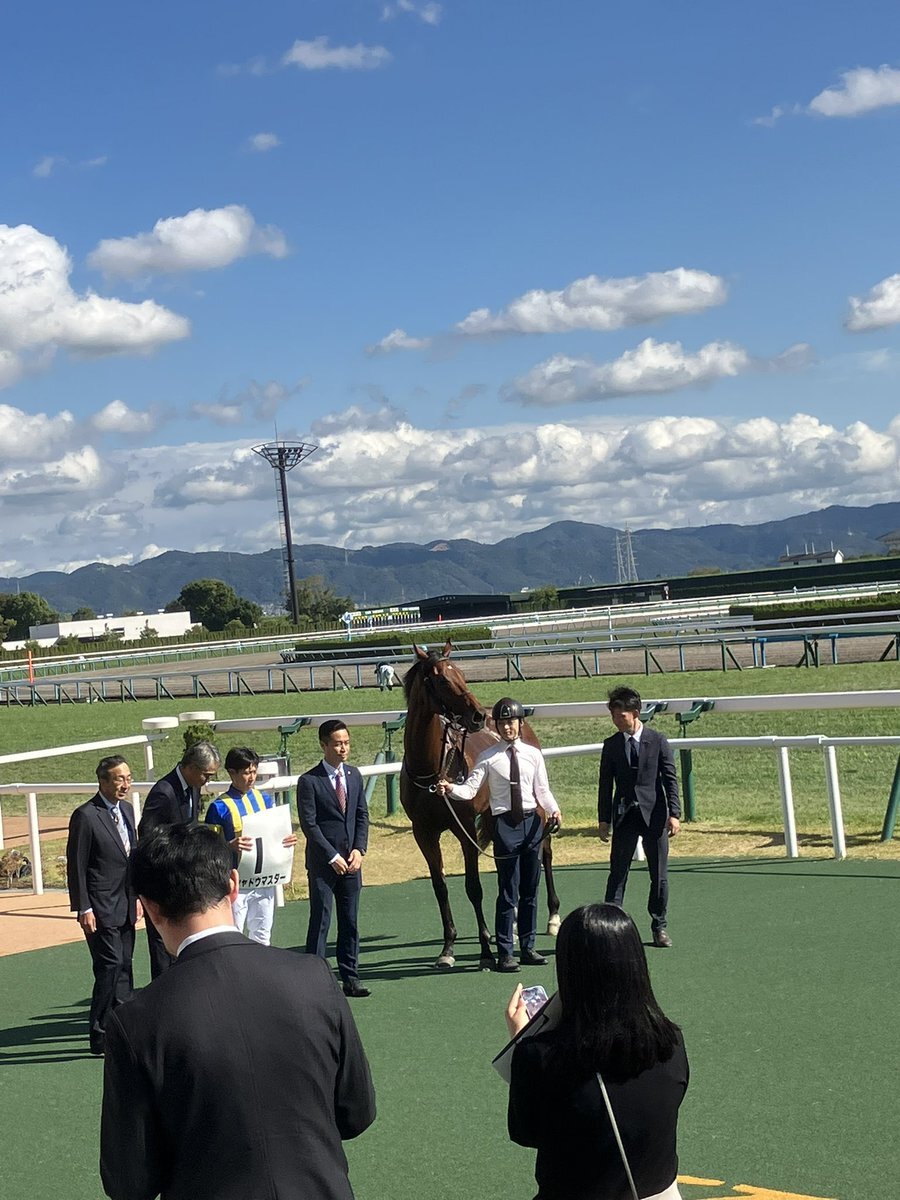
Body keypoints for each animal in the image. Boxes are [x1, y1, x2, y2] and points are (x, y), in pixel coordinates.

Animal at [400, 641, 561, 970]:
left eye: (462, 674)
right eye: (442, 680)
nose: (475, 716)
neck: (431, 769)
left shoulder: (465, 831)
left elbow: (473, 888)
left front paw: (487, 948)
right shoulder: (424, 833)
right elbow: (440, 887)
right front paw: (448, 948)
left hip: (537, 808)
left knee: (545, 854)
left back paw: (552, 917)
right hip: (494, 817)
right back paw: (513, 925)